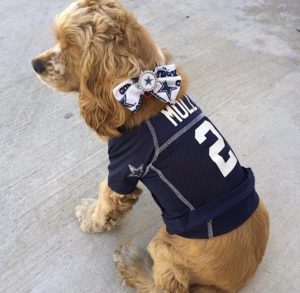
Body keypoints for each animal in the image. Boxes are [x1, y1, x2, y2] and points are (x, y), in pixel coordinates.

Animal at [32, 1, 270, 290]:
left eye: (71, 46)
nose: (35, 64)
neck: (143, 92)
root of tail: (236, 282)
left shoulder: (123, 169)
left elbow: (105, 200)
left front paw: (89, 216)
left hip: (164, 245)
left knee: (164, 286)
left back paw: (131, 264)